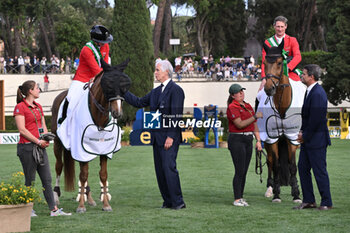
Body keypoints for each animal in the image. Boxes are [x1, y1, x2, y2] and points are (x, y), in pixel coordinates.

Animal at [50, 59, 131, 212]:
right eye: (108, 84)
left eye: (124, 85)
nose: (117, 112)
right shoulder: (80, 147)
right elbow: (83, 175)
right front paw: (81, 206)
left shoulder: (104, 149)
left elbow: (102, 175)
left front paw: (106, 204)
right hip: (57, 143)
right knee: (59, 166)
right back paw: (56, 196)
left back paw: (89, 197)